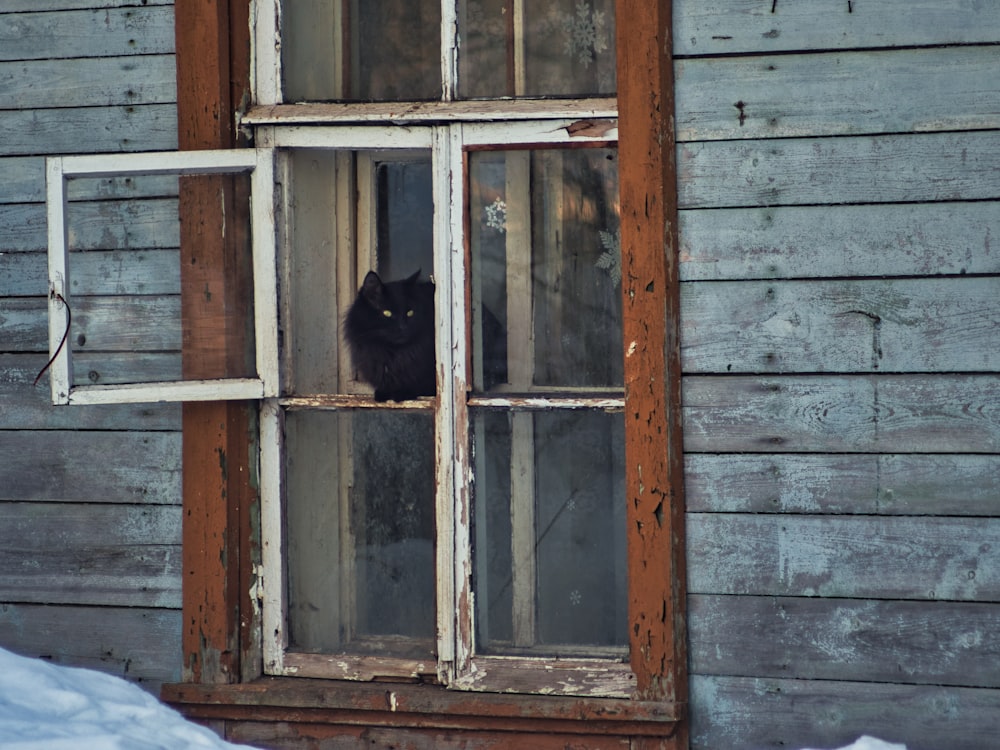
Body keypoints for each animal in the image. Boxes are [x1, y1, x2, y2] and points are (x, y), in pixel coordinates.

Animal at [346, 268, 436, 402]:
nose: (403, 327)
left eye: (410, 312)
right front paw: (383, 393)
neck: (392, 353)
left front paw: (402, 393)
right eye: (387, 313)